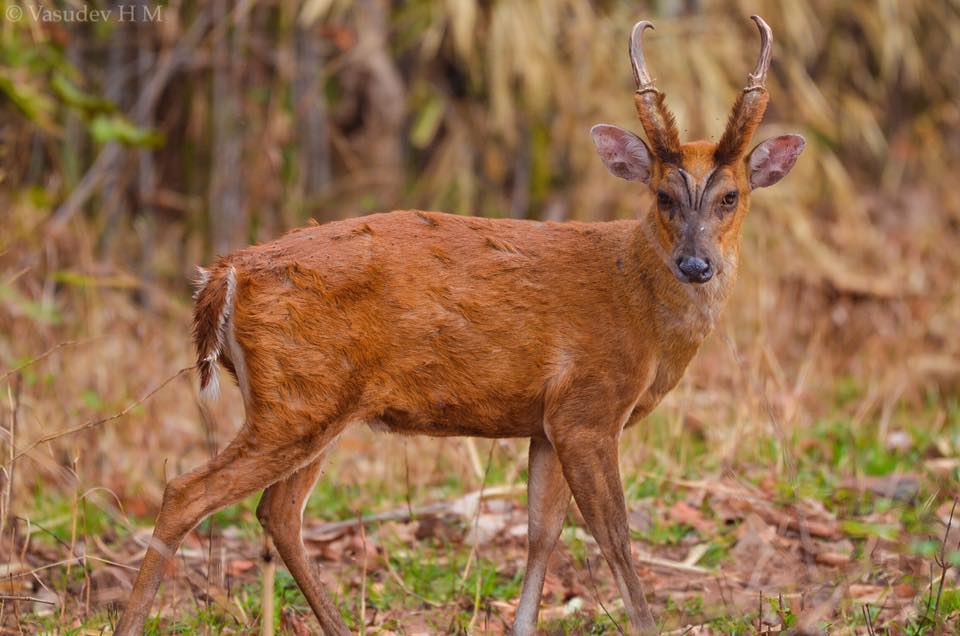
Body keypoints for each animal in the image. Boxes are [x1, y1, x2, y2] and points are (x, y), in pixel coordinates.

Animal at [115, 15, 804, 635]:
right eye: (663, 195)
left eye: (731, 196)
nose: (696, 264)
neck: (640, 306)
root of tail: (225, 274)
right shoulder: (588, 406)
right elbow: (614, 534)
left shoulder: (547, 422)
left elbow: (541, 530)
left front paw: (523, 626)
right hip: (298, 399)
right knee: (186, 493)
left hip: (312, 401)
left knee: (277, 511)